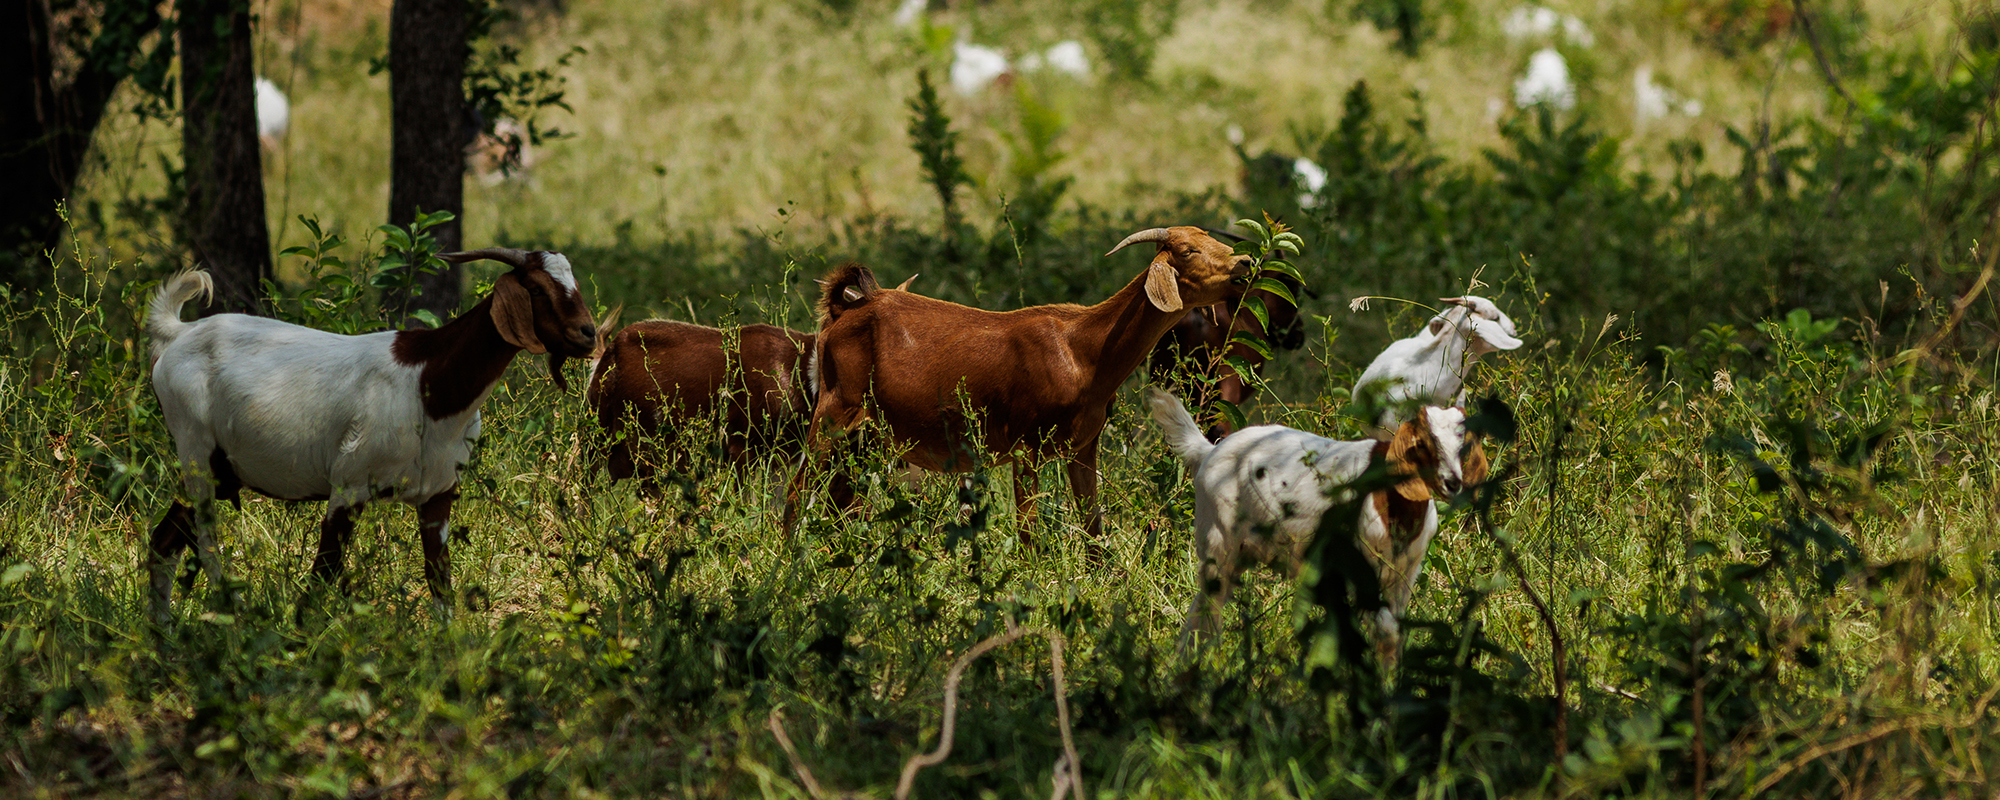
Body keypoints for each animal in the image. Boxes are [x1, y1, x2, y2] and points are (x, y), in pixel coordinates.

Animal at [144, 247, 592, 620]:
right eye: (537, 288)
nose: (588, 334)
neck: (431, 383)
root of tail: (179, 335)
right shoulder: (350, 485)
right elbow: (323, 575)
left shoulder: (438, 494)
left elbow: (440, 583)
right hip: (195, 450)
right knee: (204, 543)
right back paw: (231, 615)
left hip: (222, 470)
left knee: (164, 540)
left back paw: (163, 632)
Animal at [792, 228, 1248, 540]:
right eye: (1187, 251)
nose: (1244, 262)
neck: (1085, 351)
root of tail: (842, 311)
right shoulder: (1025, 444)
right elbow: (1028, 530)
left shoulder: (1083, 445)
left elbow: (1092, 525)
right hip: (834, 412)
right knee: (798, 492)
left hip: (867, 437)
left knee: (841, 500)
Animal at [1160, 386, 1488, 664]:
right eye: (1421, 442)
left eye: (1463, 443)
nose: (1452, 482)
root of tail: (1208, 451)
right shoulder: (1362, 564)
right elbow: (1385, 631)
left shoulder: (1407, 571)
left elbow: (1394, 632)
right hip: (1217, 538)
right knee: (1209, 605)